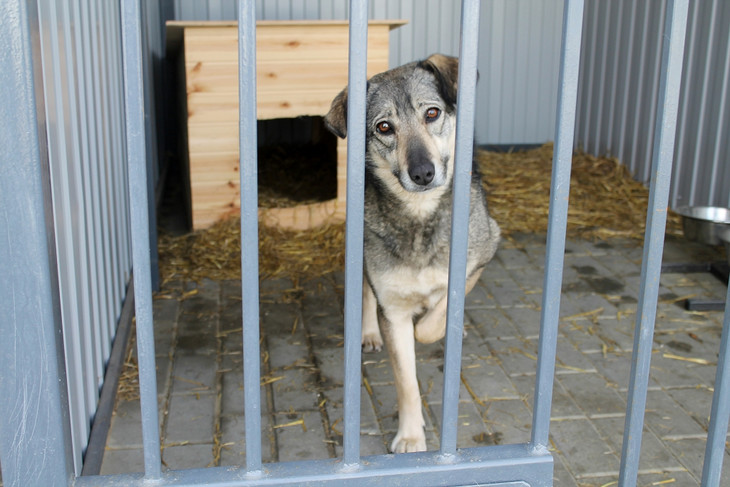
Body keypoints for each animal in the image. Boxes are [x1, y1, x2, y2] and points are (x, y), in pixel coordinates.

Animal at [326, 53, 500, 454]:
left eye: (432, 113)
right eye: (384, 127)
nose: (422, 173)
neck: (420, 217)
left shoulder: (483, 254)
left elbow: (435, 317)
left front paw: (439, 321)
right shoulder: (392, 307)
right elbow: (407, 381)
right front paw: (410, 436)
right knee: (364, 291)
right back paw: (370, 332)